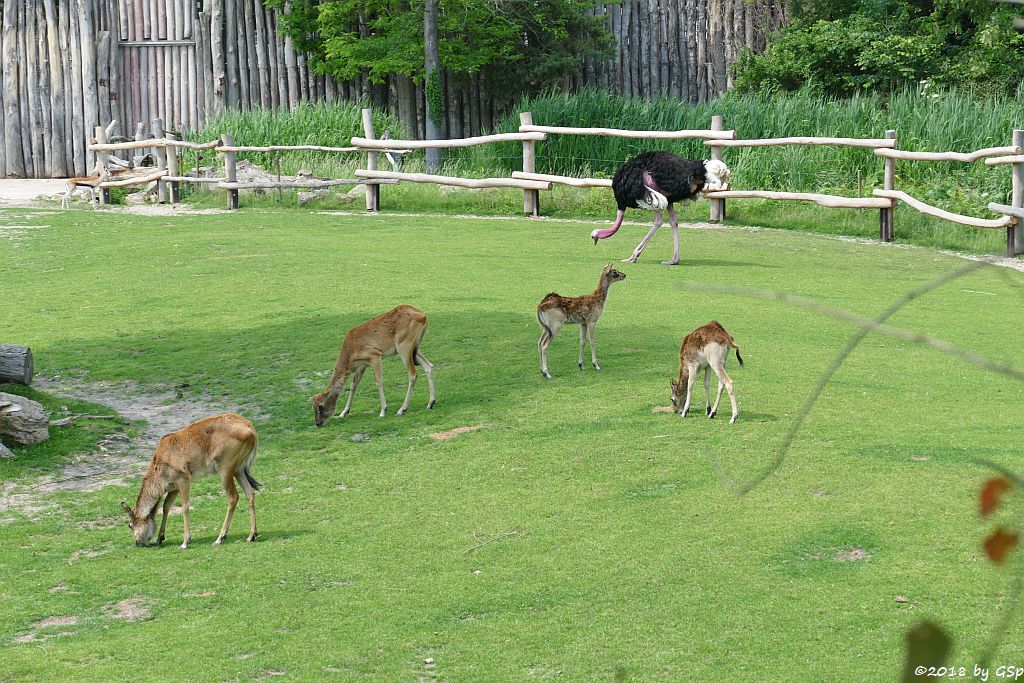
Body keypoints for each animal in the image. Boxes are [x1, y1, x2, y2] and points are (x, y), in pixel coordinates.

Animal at [120, 411, 260, 548]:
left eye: (130, 525)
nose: (138, 542)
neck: (161, 459)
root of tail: (249, 429)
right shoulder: (174, 488)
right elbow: (166, 507)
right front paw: (160, 538)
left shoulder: (184, 480)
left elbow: (185, 506)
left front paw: (185, 542)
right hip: (239, 471)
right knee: (250, 493)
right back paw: (251, 535)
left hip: (225, 471)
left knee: (233, 497)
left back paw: (220, 538)